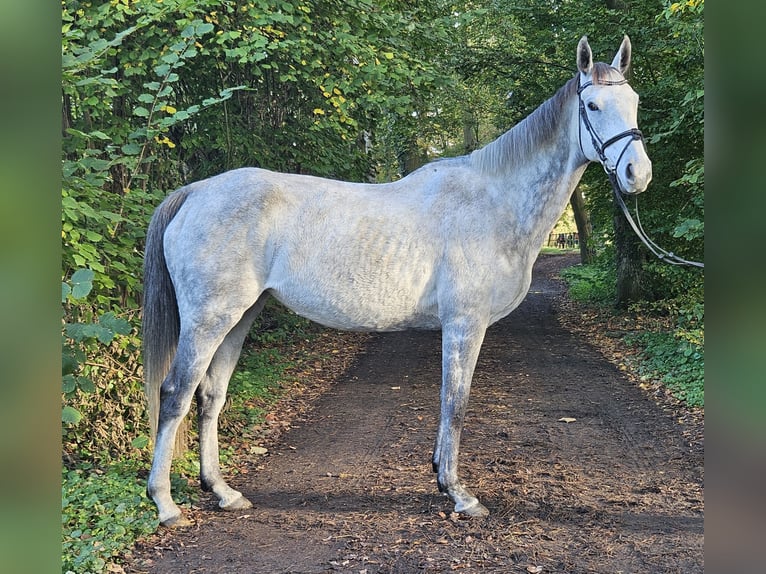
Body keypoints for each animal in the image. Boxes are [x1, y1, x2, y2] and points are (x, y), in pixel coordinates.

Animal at [146, 36, 656, 528]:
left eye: (634, 101)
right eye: (592, 106)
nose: (638, 174)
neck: (495, 201)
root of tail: (195, 191)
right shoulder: (465, 324)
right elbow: (455, 401)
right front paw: (458, 494)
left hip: (241, 316)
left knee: (210, 395)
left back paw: (223, 493)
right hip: (210, 318)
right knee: (175, 394)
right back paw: (165, 505)